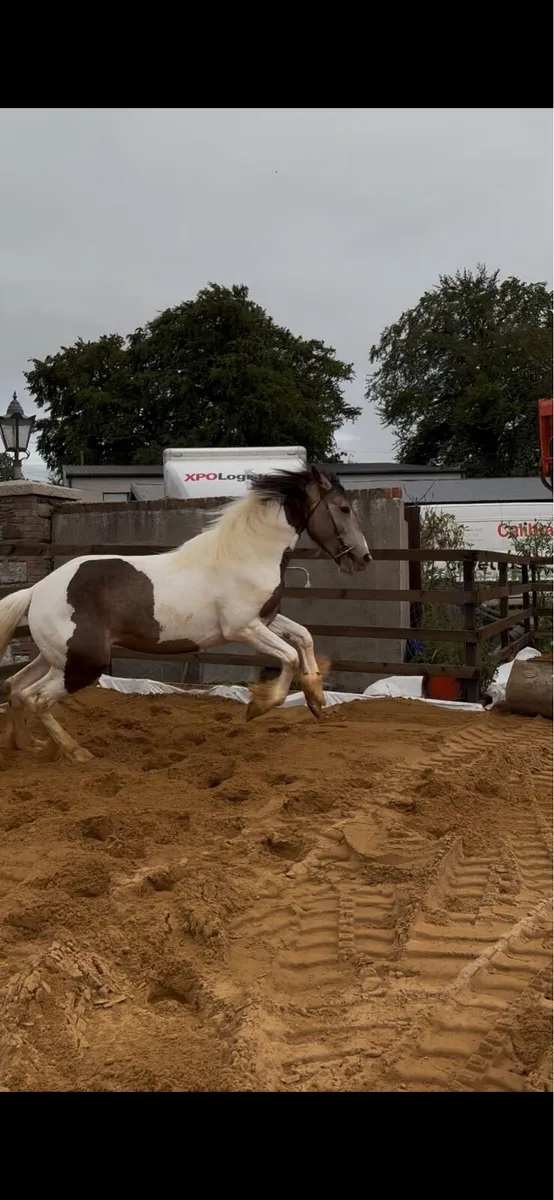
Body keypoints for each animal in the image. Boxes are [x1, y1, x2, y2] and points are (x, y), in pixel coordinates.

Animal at [0, 465, 371, 764]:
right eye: (344, 508)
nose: (363, 559)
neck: (247, 555)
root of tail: (37, 590)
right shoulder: (243, 629)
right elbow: (291, 656)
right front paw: (258, 707)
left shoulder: (265, 620)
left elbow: (304, 637)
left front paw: (316, 700)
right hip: (83, 663)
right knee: (37, 698)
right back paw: (76, 752)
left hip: (57, 658)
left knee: (16, 686)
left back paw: (28, 745)